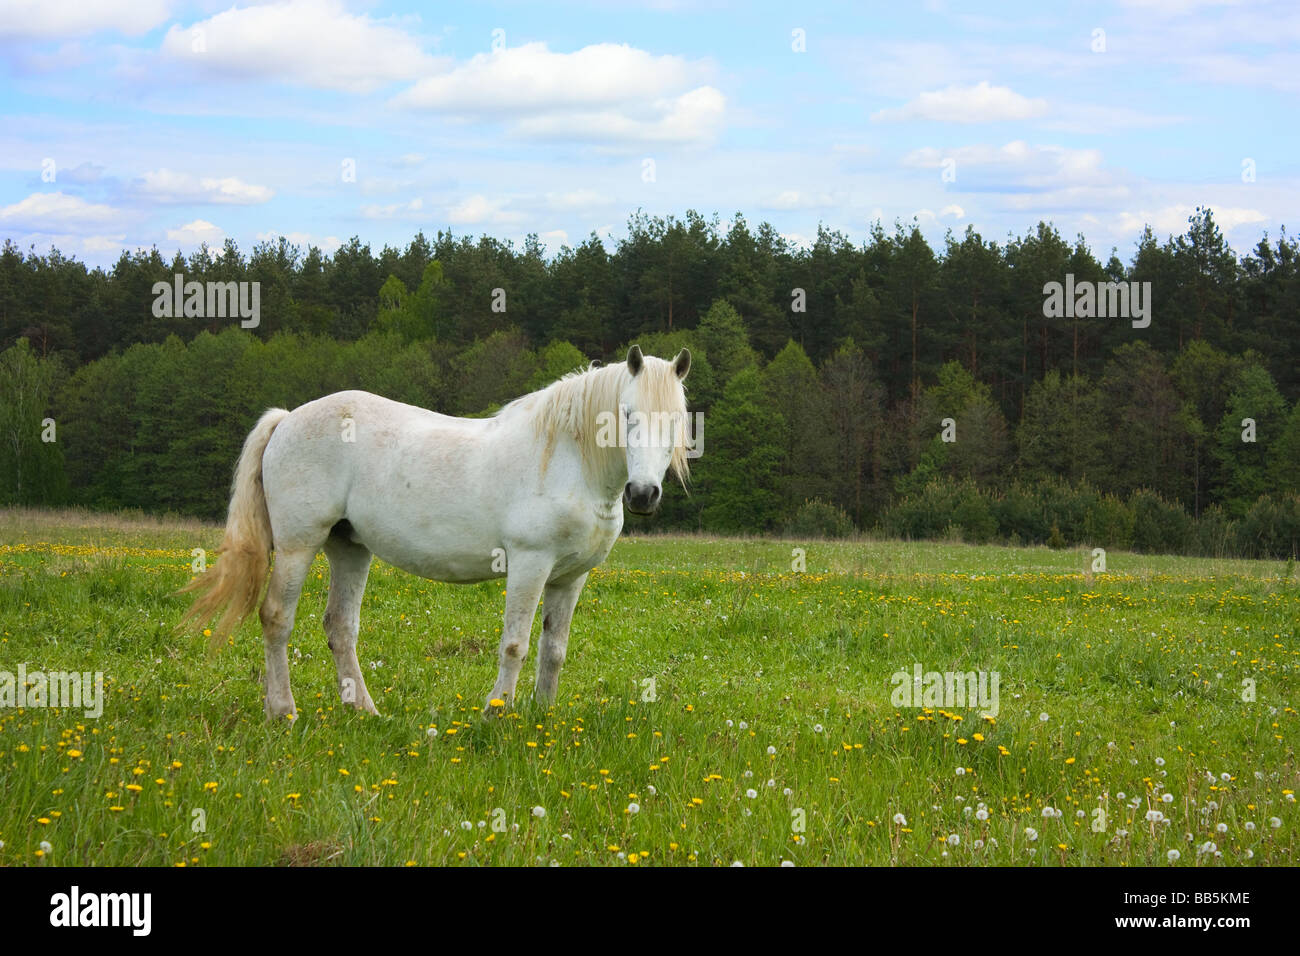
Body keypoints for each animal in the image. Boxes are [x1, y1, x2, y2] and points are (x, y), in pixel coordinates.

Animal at [179, 345, 690, 718]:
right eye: (626, 415)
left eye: (677, 420)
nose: (643, 494)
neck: (567, 460)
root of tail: (287, 418)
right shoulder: (529, 565)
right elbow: (515, 645)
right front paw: (496, 715)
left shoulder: (569, 577)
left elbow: (553, 650)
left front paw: (541, 717)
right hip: (296, 546)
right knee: (276, 618)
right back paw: (283, 712)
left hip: (349, 549)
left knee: (340, 626)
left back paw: (364, 711)